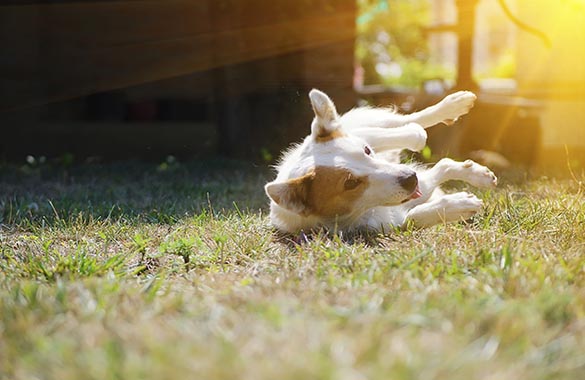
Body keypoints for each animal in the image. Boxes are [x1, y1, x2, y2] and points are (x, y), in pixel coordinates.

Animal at [264, 89, 498, 235]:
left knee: (410, 124)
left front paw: (476, 176)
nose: (410, 179)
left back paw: (450, 107)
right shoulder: (396, 216)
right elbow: (414, 215)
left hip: (371, 127)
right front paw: (459, 204)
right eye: (350, 183)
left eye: (366, 151)